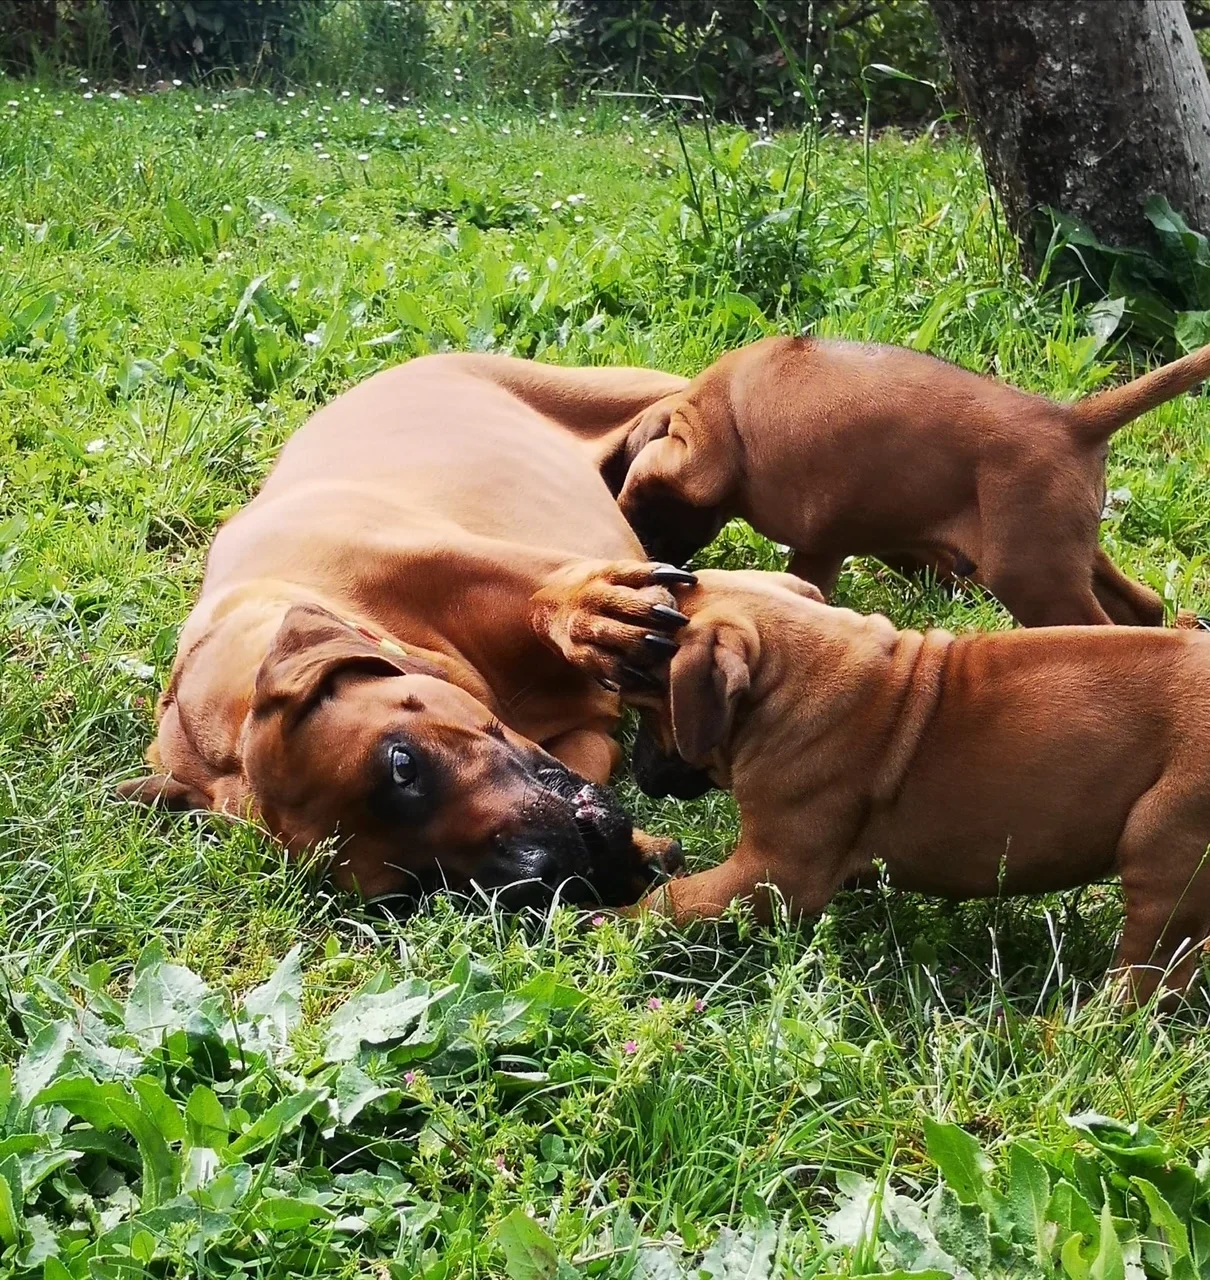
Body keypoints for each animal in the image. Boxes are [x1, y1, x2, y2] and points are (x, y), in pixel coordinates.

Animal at [117, 352, 697, 908]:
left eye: (402, 764)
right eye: (410, 889)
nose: (544, 874)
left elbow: (543, 592)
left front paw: (588, 612)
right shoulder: (583, 742)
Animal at [609, 334, 1210, 627]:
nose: (658, 563)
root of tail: (1073, 422)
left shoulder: (700, 447)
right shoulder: (826, 546)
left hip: (1033, 579)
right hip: (1066, 555)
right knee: (1143, 608)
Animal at [627, 568, 1210, 1002]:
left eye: (646, 703)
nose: (636, 772)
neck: (791, 679)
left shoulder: (770, 874)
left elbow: (670, 901)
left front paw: (614, 921)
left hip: (1164, 852)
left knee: (1149, 977)